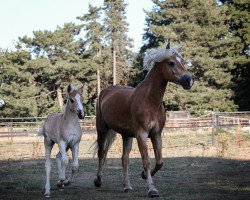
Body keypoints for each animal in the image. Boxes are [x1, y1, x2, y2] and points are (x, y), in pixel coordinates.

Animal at [93, 40, 193, 197]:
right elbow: (146, 161)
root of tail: (105, 92)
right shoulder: (141, 135)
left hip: (126, 135)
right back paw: (98, 181)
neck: (149, 101)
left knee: (124, 158)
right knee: (101, 153)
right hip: (102, 129)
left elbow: (159, 161)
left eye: (182, 61)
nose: (189, 80)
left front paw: (144, 175)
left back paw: (127, 186)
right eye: (171, 63)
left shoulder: (156, 134)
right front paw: (152, 189)